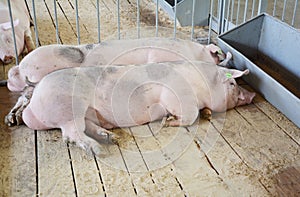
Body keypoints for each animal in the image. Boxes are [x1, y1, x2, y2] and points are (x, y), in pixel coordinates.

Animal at [22, 60, 254, 155]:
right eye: (232, 84)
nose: (252, 96)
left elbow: (200, 112)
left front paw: (206, 113)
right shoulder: (176, 95)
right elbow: (190, 115)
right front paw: (167, 121)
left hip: (87, 113)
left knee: (86, 128)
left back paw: (111, 138)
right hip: (69, 110)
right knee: (71, 134)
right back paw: (99, 150)